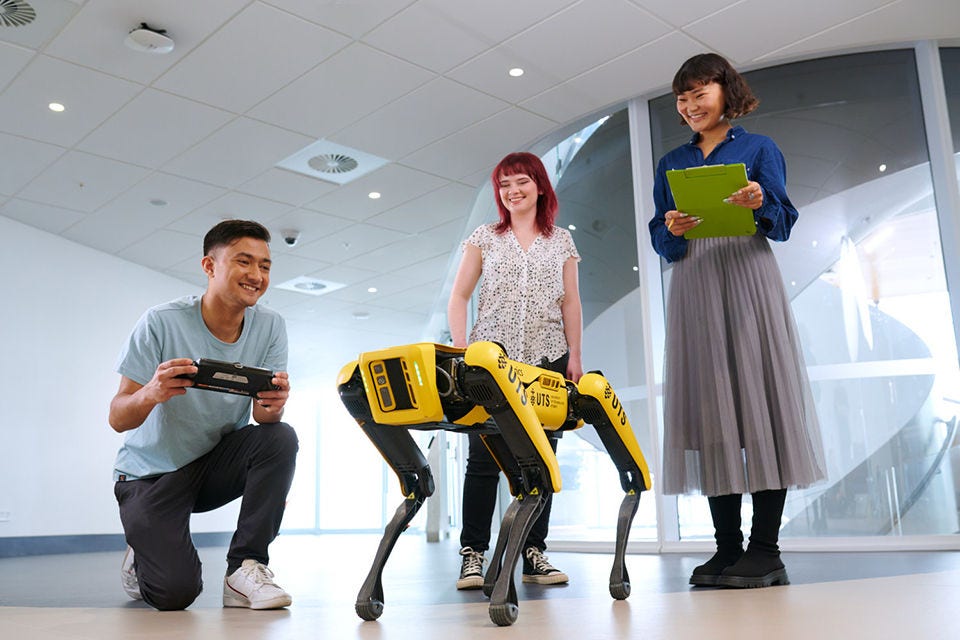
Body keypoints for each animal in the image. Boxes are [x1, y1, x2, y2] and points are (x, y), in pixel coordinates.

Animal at [338, 340, 652, 624]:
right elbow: (418, 485)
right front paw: (369, 598)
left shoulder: (491, 371)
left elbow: (544, 480)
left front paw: (504, 603)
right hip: (497, 428)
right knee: (520, 488)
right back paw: (490, 582)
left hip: (574, 399)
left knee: (600, 402)